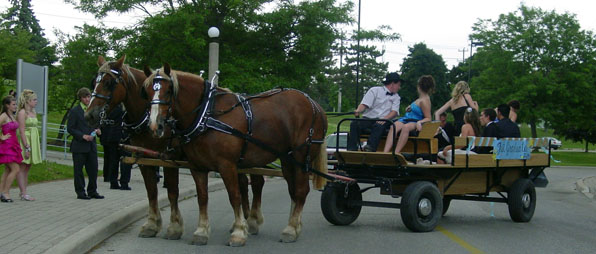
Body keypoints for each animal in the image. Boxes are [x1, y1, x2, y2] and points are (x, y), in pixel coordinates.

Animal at [144, 63, 328, 246]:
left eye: (169, 90)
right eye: (146, 92)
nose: (154, 125)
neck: (206, 115)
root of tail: (315, 105)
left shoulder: (227, 165)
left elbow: (235, 196)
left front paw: (239, 232)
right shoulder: (197, 167)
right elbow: (202, 198)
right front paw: (201, 231)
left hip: (302, 158)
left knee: (301, 190)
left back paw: (291, 228)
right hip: (287, 159)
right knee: (293, 190)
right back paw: (294, 226)